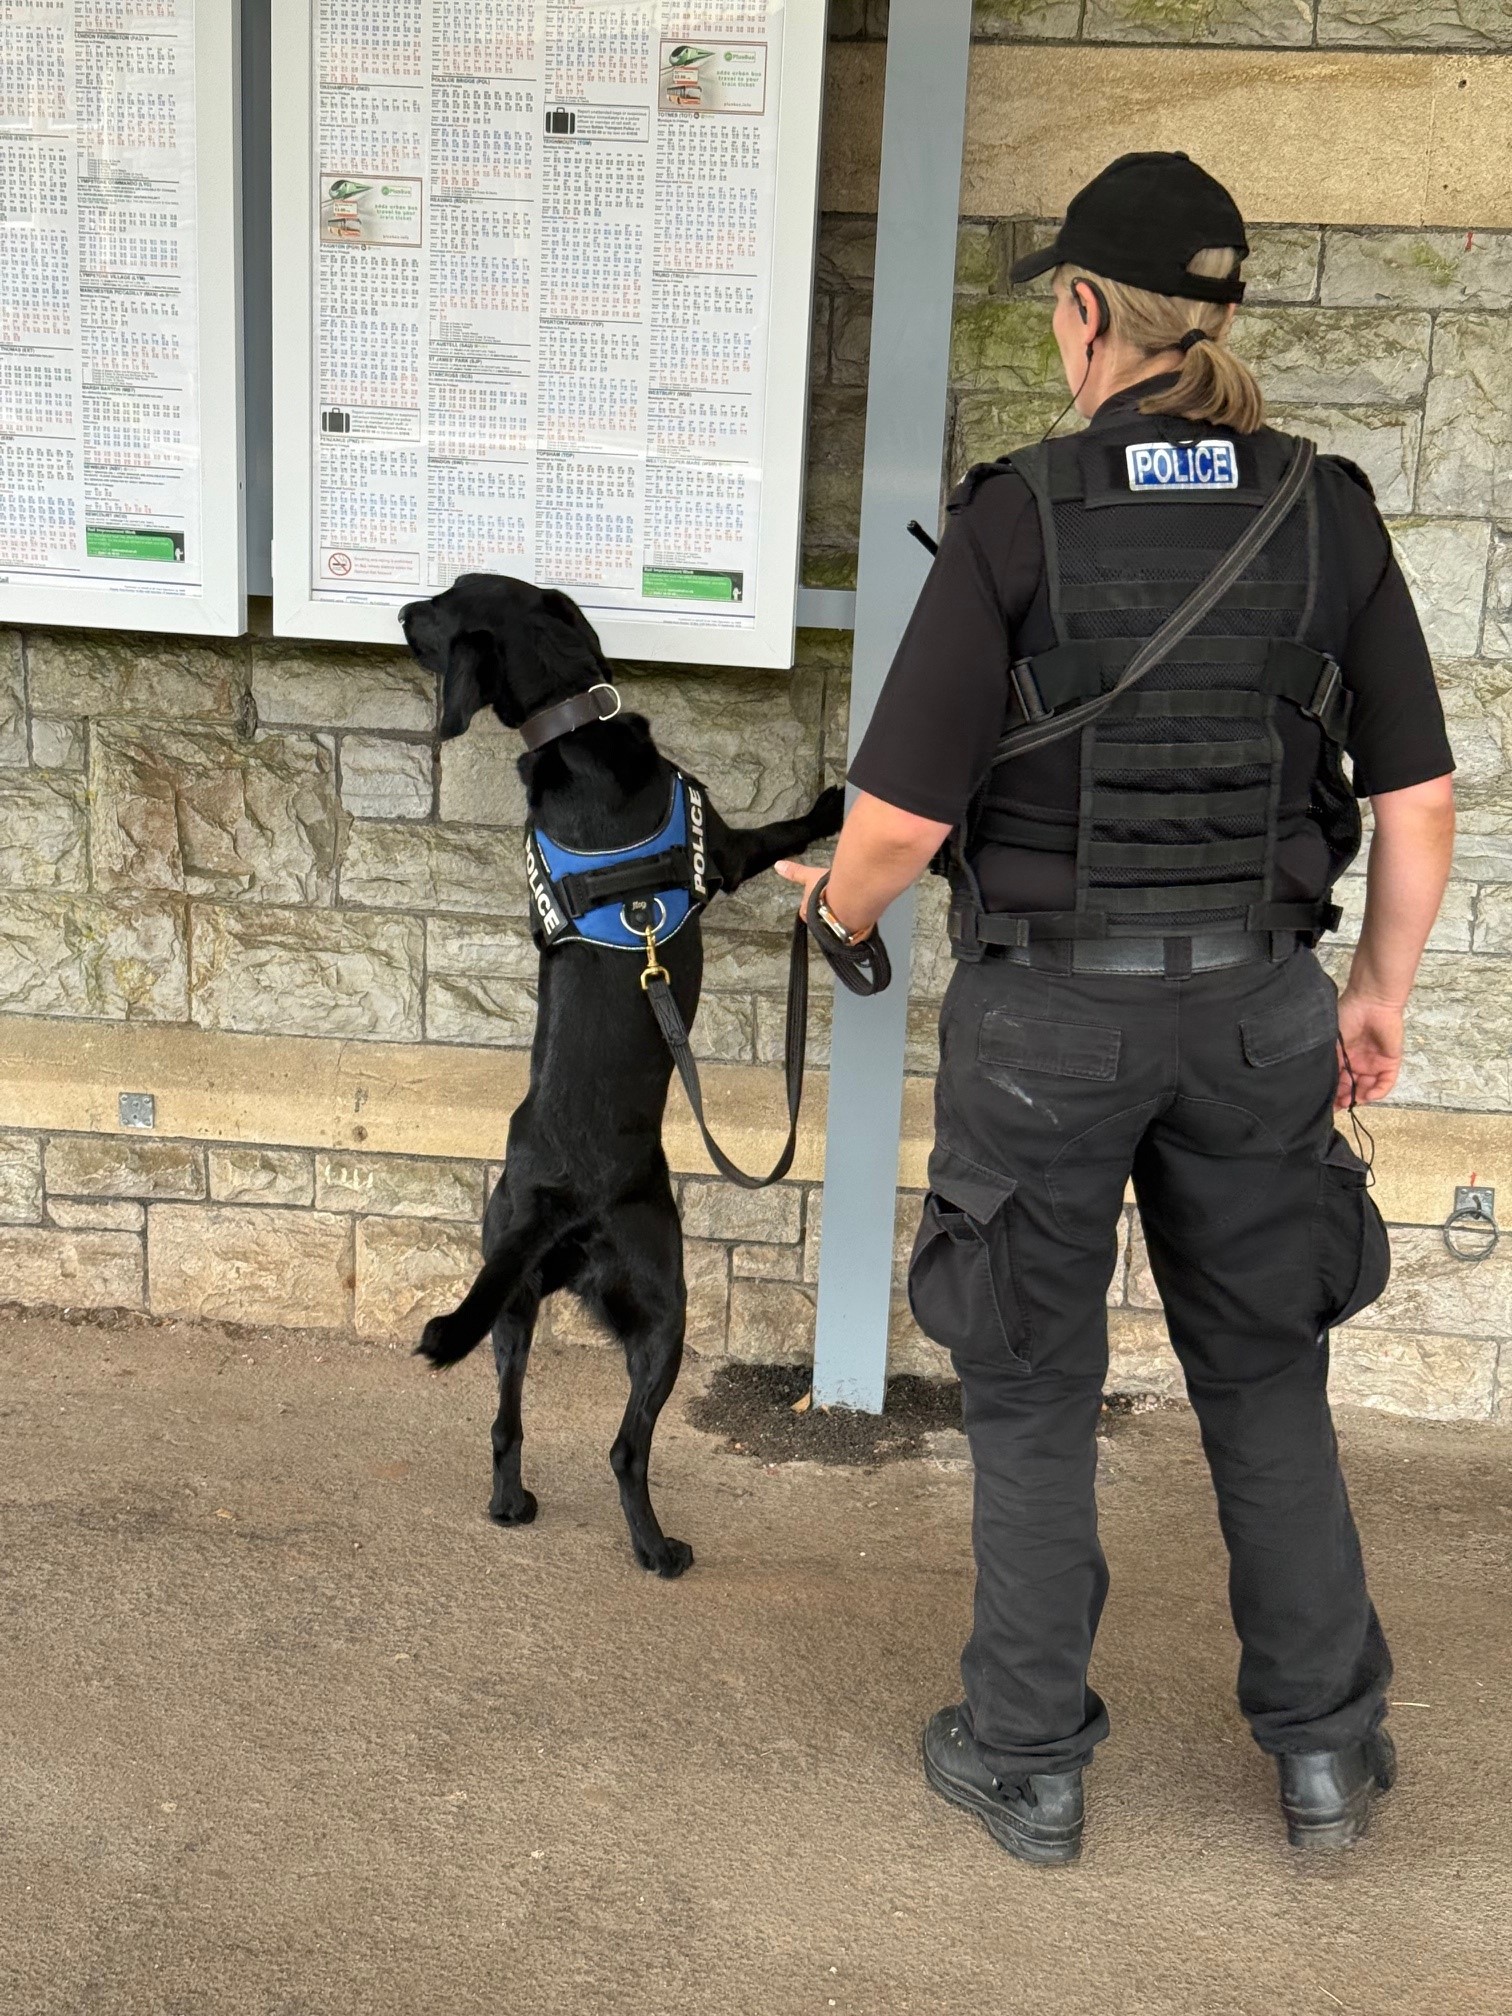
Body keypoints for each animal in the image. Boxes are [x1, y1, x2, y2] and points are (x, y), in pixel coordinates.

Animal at [400, 574, 842, 1576]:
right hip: (665, 1303)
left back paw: (510, 1504)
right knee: (624, 1447)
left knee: (504, 1420)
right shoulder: (724, 853)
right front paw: (834, 806)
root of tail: (562, 1193)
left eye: (446, 598)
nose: (401, 610)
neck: (570, 724)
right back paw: (656, 1548)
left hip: (509, 1301)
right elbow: (779, 830)